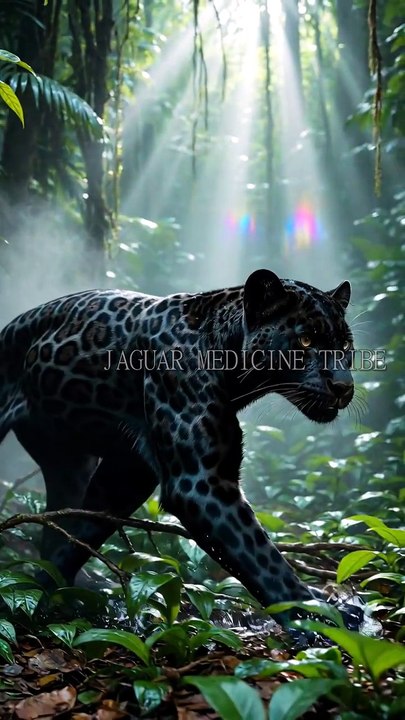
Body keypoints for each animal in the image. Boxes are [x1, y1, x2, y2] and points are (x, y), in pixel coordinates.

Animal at [0, 269, 358, 629]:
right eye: (305, 341)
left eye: (345, 345)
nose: (344, 386)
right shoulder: (200, 483)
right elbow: (265, 561)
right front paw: (320, 621)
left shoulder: (126, 473)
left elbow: (78, 537)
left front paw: (53, 592)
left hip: (71, 464)